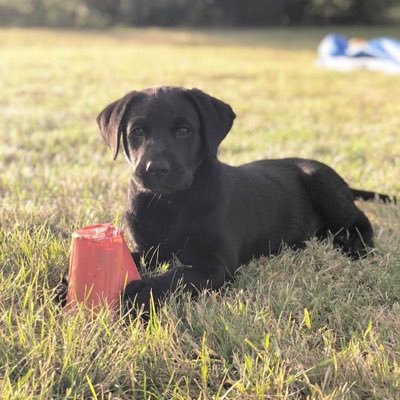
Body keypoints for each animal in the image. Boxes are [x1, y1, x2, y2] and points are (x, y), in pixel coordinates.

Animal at [96, 86, 394, 316]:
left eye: (184, 130)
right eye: (137, 131)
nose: (155, 169)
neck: (170, 204)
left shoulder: (215, 264)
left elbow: (178, 276)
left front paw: (140, 291)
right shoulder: (150, 250)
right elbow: (134, 257)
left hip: (321, 181)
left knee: (360, 219)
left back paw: (356, 247)